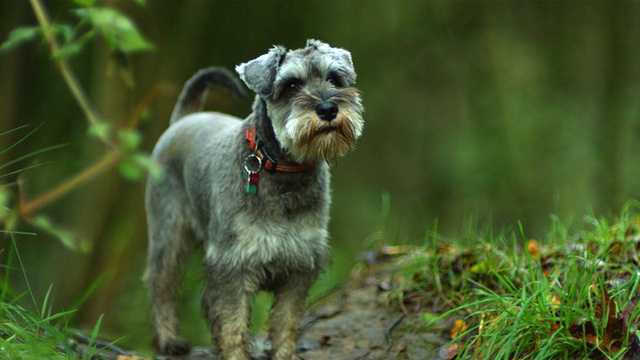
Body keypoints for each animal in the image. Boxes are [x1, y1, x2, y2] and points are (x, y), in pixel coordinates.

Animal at [145, 39, 364, 360]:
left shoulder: (299, 265)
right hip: (168, 233)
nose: (328, 108)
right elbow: (232, 322)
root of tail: (183, 120)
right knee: (161, 284)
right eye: (291, 85)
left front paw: (284, 354)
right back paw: (169, 340)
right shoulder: (232, 265)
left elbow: (286, 321)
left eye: (334, 79)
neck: (284, 169)